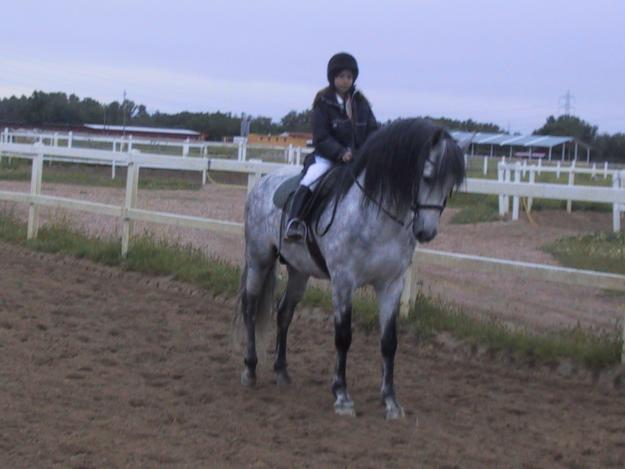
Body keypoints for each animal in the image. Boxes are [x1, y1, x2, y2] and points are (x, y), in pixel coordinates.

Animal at [236, 119, 466, 418]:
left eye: (451, 184)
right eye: (426, 176)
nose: (426, 232)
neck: (376, 217)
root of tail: (262, 182)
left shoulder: (392, 285)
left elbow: (389, 342)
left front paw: (391, 401)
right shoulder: (343, 282)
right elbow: (343, 337)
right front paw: (342, 396)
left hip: (300, 271)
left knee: (284, 313)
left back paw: (282, 372)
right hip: (258, 259)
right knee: (251, 308)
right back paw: (250, 369)